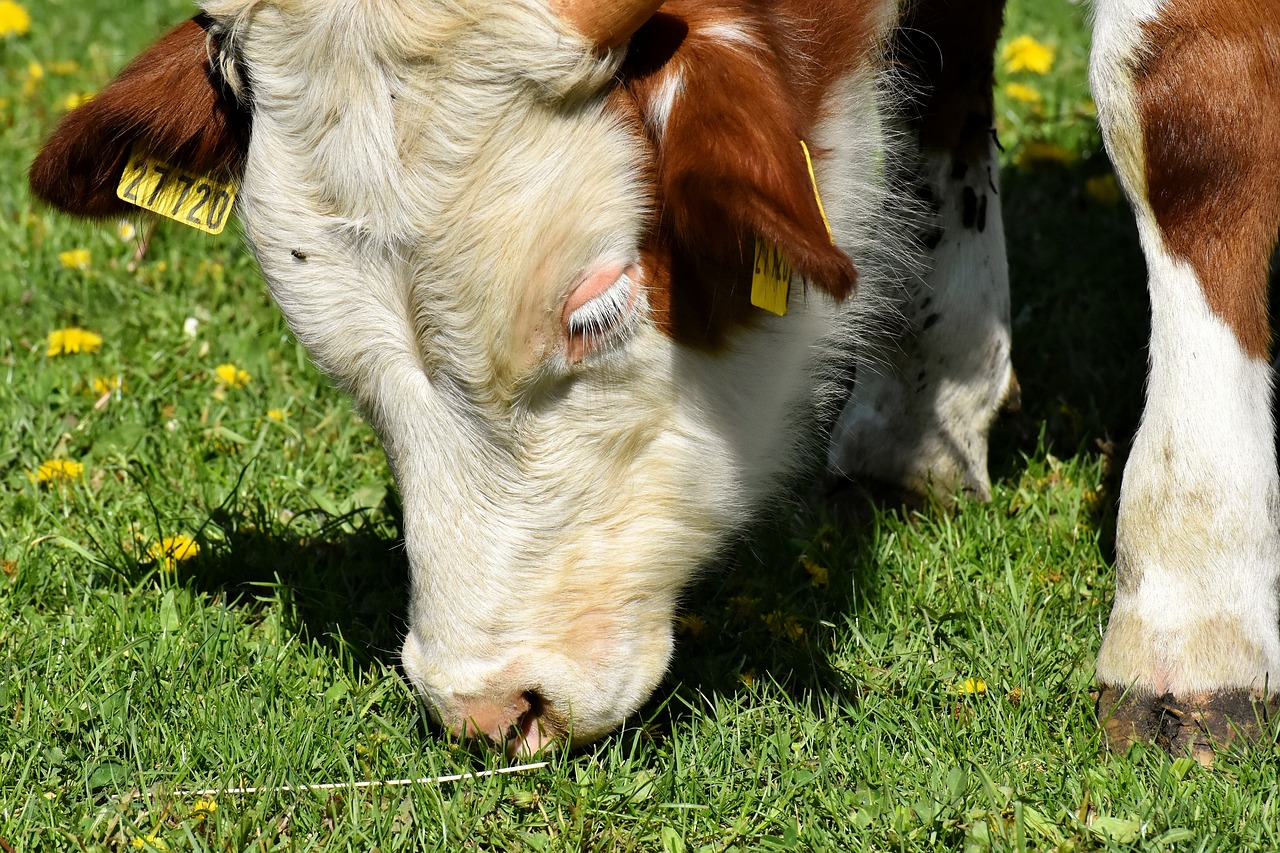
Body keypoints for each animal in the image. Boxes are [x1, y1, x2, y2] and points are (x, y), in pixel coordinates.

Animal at [30, 0, 1280, 758]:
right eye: (329, 346)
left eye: (593, 307)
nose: (488, 702)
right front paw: (923, 403)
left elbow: (1176, 114)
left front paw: (1189, 618)